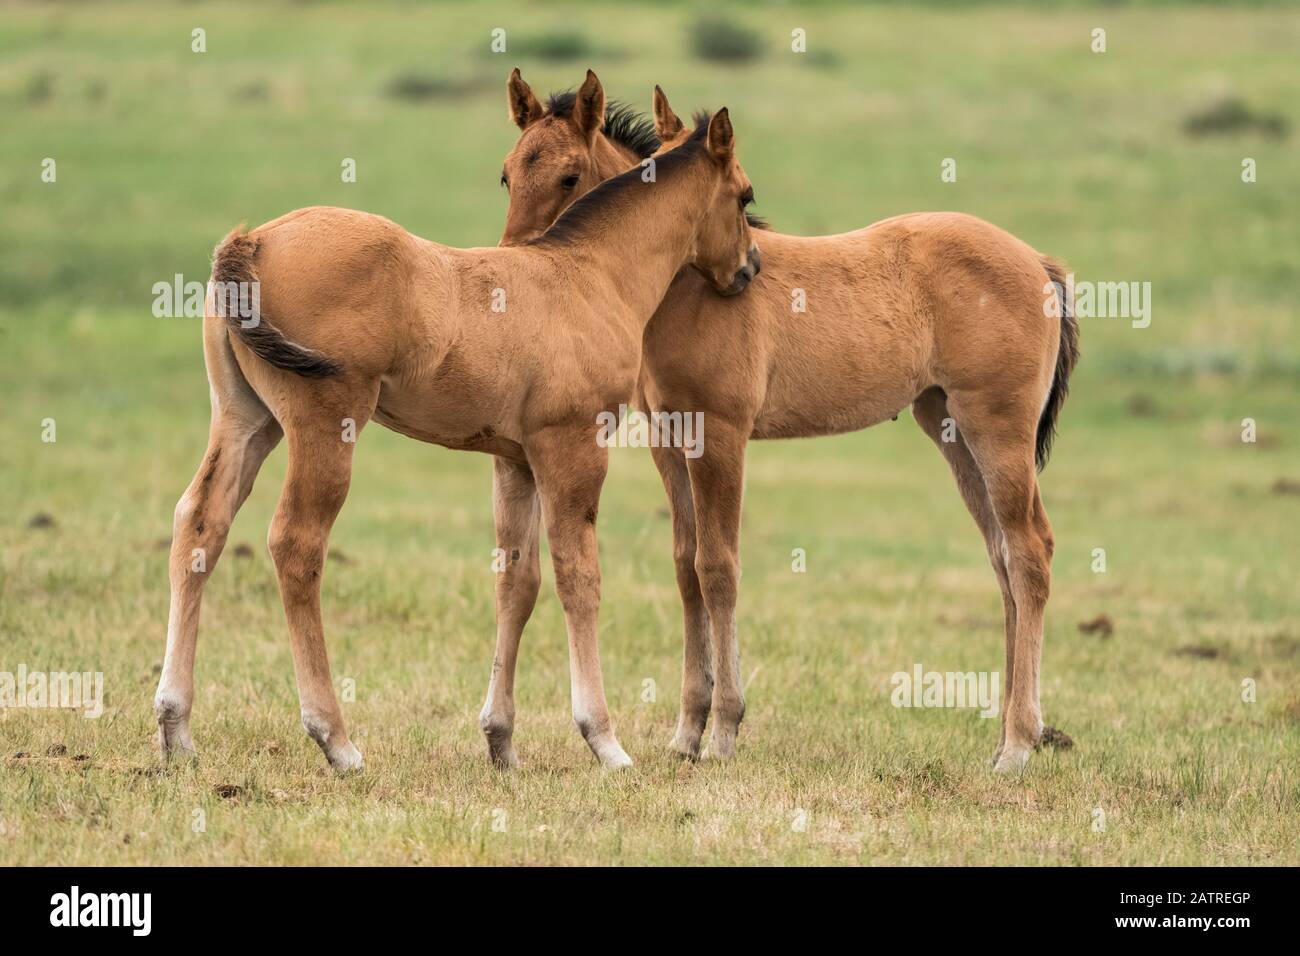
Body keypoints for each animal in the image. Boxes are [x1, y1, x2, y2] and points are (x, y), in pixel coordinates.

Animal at [496, 70, 1076, 775]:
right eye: (507, 175)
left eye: (570, 176)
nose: (510, 264)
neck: (686, 288)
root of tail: (1039, 263)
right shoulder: (668, 436)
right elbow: (685, 565)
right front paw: (685, 735)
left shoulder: (721, 433)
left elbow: (719, 567)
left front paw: (723, 732)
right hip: (951, 429)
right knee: (1002, 558)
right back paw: (1008, 736)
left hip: (998, 429)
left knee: (1030, 553)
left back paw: (1017, 746)